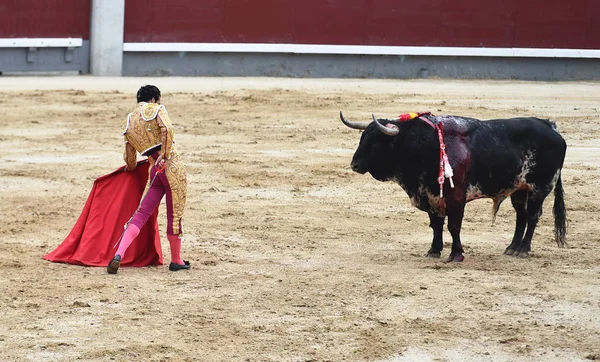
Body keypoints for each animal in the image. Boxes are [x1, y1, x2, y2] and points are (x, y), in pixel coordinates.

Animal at [342, 110, 568, 260]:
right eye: (362, 138)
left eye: (375, 142)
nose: (354, 165)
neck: (423, 144)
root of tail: (549, 126)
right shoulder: (431, 194)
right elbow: (436, 224)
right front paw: (434, 251)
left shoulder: (456, 196)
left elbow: (453, 225)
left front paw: (456, 254)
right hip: (519, 189)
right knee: (521, 216)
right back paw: (512, 248)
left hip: (540, 188)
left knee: (533, 216)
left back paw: (523, 250)